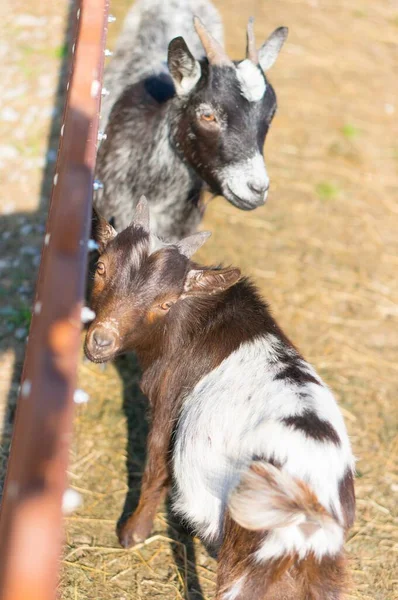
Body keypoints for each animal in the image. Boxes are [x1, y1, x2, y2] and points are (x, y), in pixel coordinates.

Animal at [85, 198, 356, 600]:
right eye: (101, 267)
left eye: (165, 304)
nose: (101, 340)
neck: (192, 325)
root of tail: (311, 516)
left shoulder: (168, 402)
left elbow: (155, 468)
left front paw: (132, 534)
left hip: (245, 559)